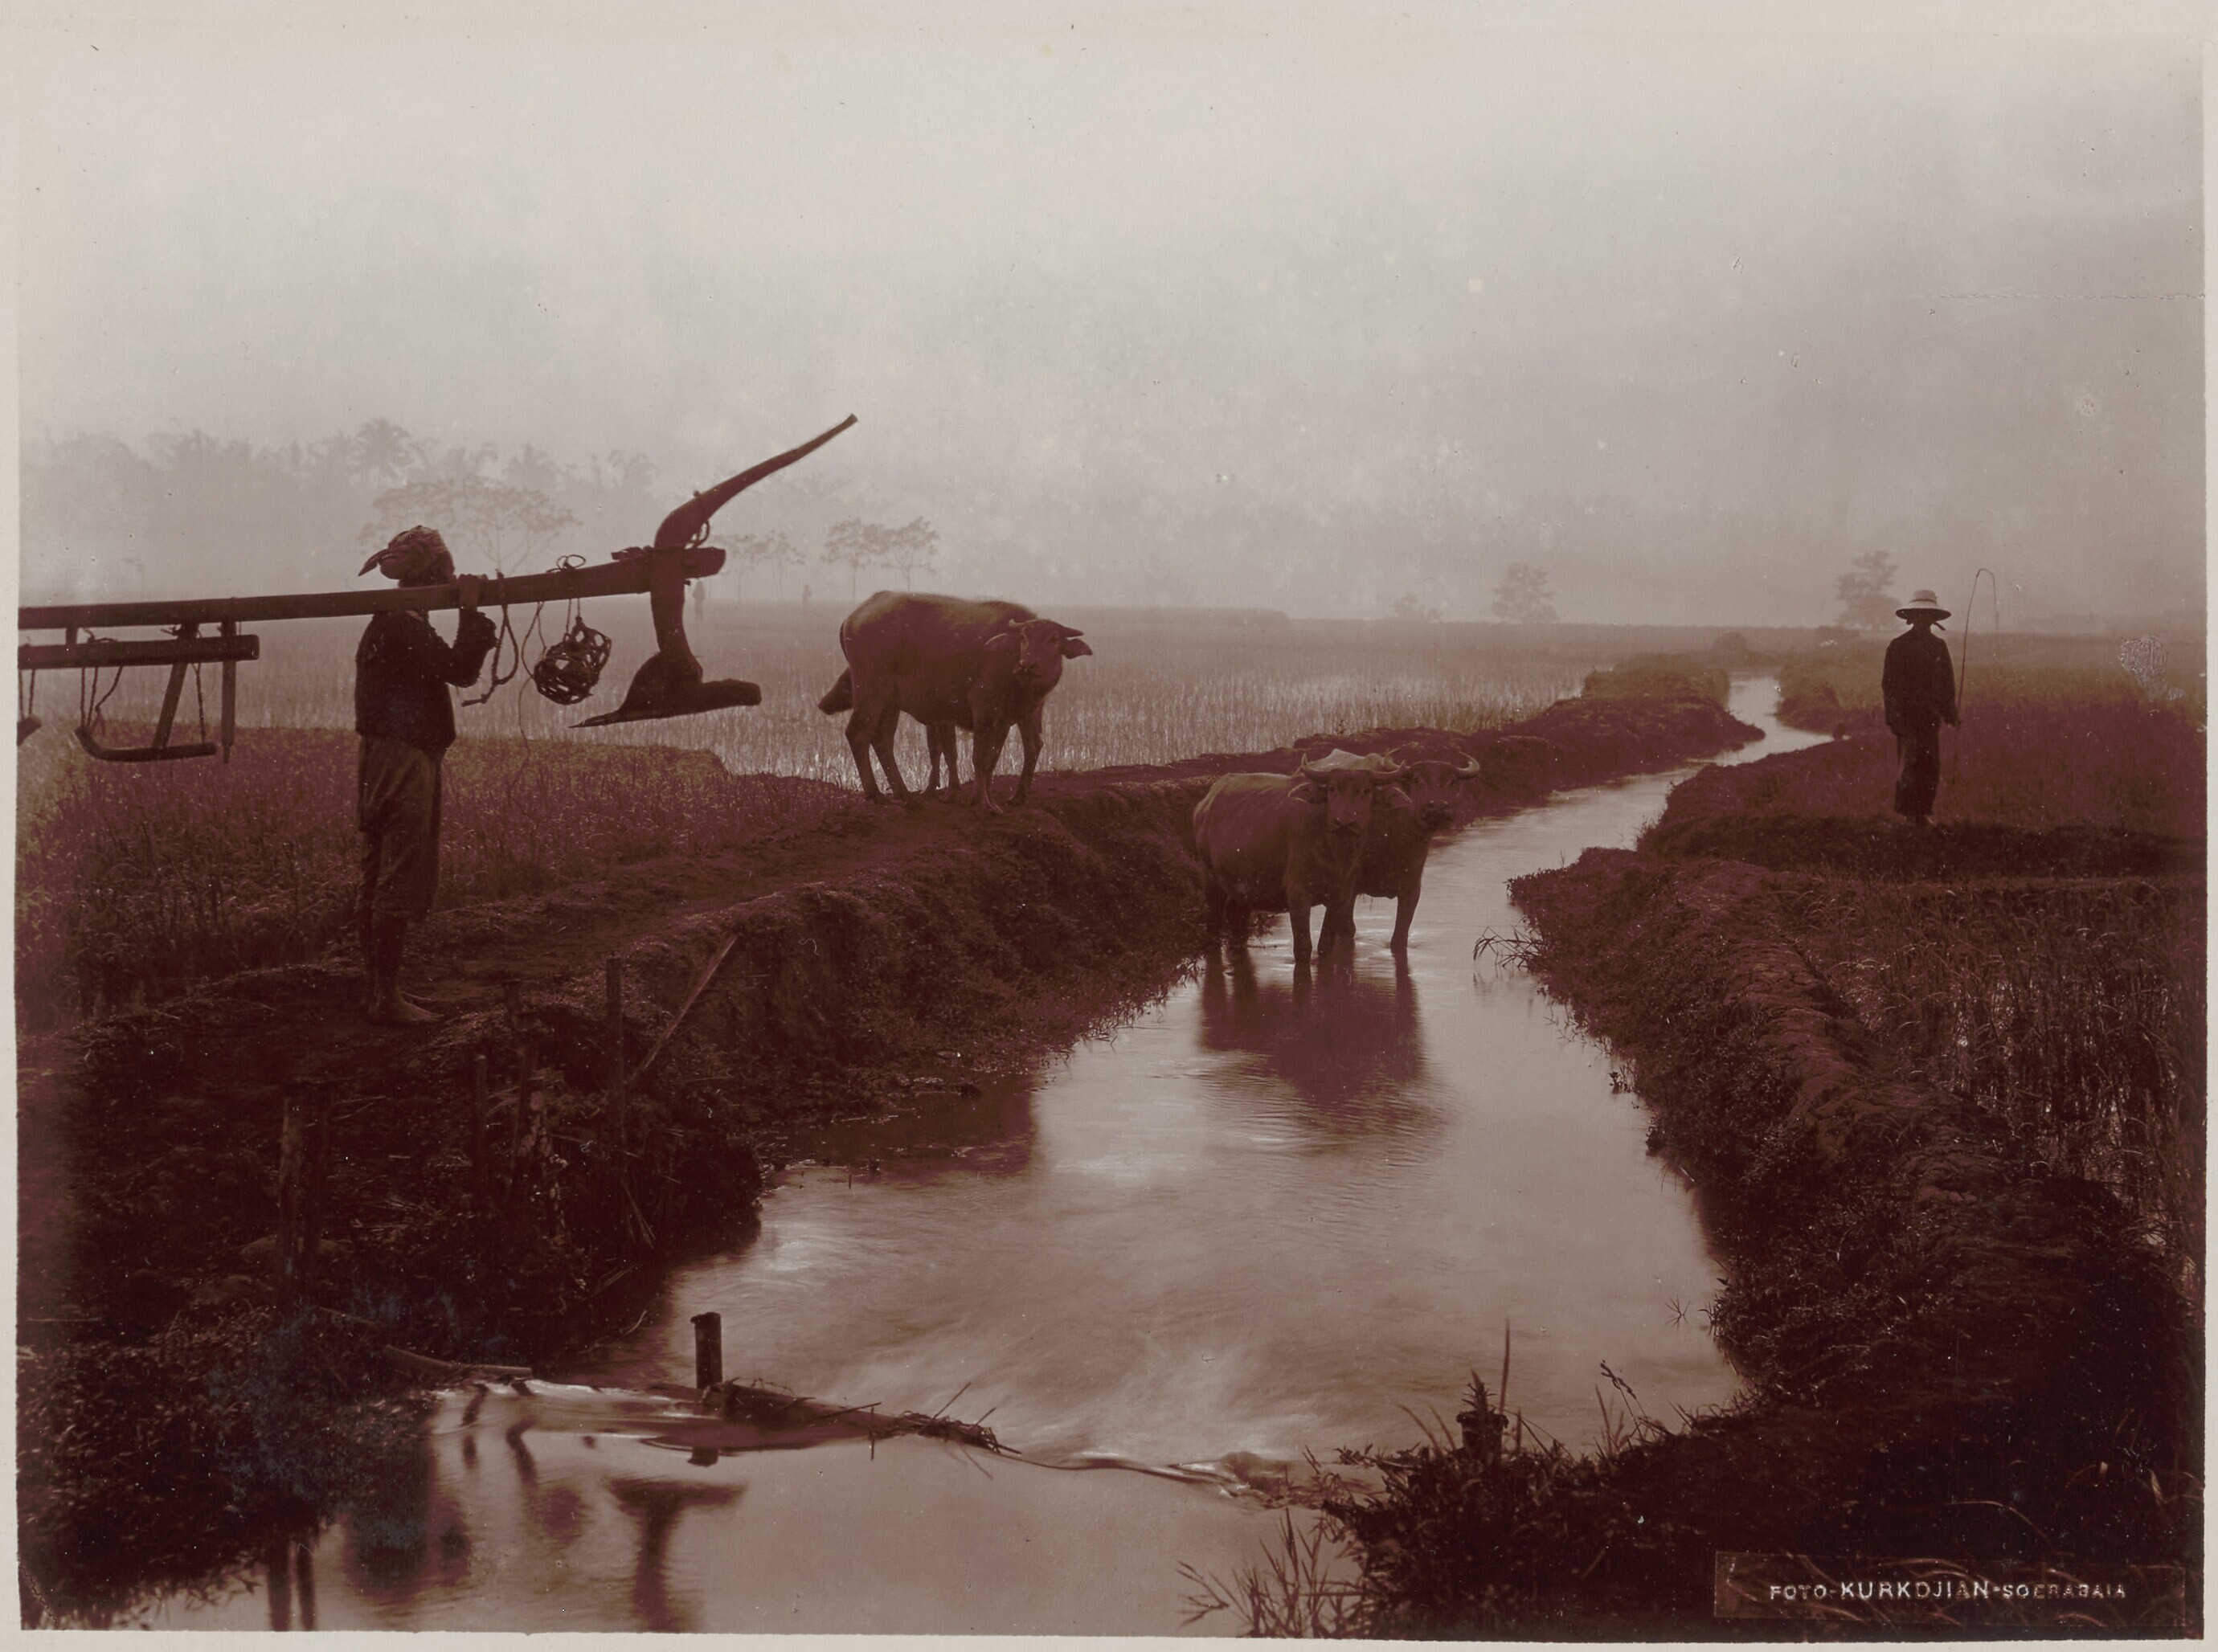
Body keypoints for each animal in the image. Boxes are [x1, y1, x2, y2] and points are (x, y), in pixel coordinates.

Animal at [817, 591, 1092, 813]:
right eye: (1024, 638)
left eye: (1054, 639)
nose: (1028, 665)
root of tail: (854, 617)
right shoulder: (982, 707)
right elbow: (978, 757)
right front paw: (980, 802)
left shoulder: (1005, 719)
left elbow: (992, 759)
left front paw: (989, 798)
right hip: (871, 691)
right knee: (858, 734)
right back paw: (876, 795)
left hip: (890, 702)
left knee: (882, 741)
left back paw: (907, 797)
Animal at [1191, 750, 1407, 970]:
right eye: (1332, 789)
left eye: (1366, 790)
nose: (1344, 822)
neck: (1333, 852)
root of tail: (1205, 804)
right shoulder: (1298, 893)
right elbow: (1303, 948)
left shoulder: (1341, 896)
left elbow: (1325, 946)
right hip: (1210, 878)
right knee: (1214, 922)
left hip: (1244, 886)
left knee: (1237, 917)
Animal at [1338, 749, 1482, 953]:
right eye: (1417, 780)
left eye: (1453, 781)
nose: (1438, 806)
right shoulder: (1348, 890)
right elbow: (1347, 931)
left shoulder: (1411, 890)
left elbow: (1399, 937)